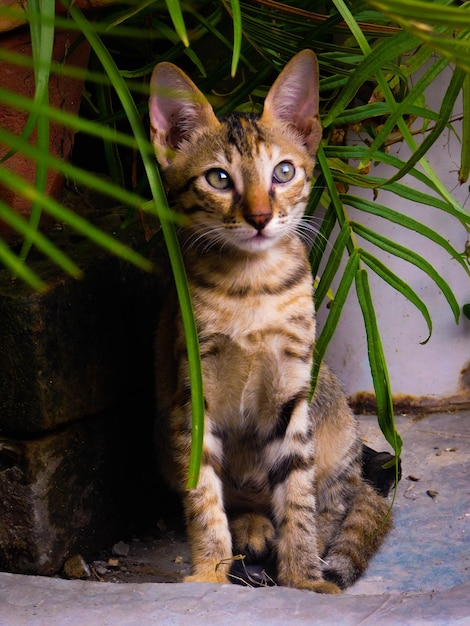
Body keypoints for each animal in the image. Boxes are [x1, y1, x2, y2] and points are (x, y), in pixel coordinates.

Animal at [151, 48, 392, 588]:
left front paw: (303, 575)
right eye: (219, 179)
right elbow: (203, 495)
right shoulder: (192, 391)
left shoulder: (291, 389)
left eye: (283, 172)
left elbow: (298, 495)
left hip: (334, 425)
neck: (250, 286)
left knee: (338, 499)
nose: (260, 217)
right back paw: (252, 525)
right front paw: (211, 572)